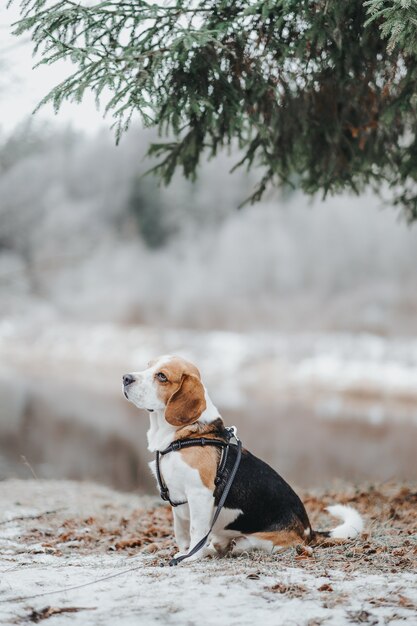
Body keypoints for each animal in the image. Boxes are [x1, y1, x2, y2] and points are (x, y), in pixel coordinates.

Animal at [122, 356, 362, 560]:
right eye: (148, 365)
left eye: (161, 376)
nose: (125, 378)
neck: (186, 435)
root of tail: (307, 529)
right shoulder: (177, 501)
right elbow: (181, 533)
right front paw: (184, 552)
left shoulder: (199, 495)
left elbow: (195, 531)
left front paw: (189, 557)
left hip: (263, 540)